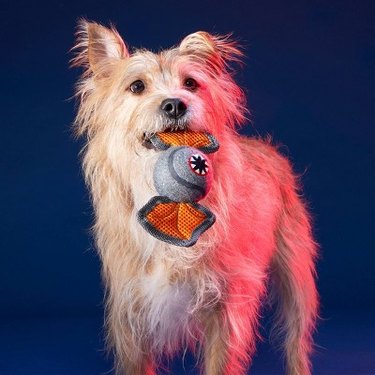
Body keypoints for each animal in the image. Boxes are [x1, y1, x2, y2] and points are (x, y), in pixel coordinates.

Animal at [70, 21, 318, 375]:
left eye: (191, 83)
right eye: (136, 86)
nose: (175, 104)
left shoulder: (225, 310)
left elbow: (220, 363)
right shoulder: (132, 316)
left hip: (297, 280)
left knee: (296, 342)